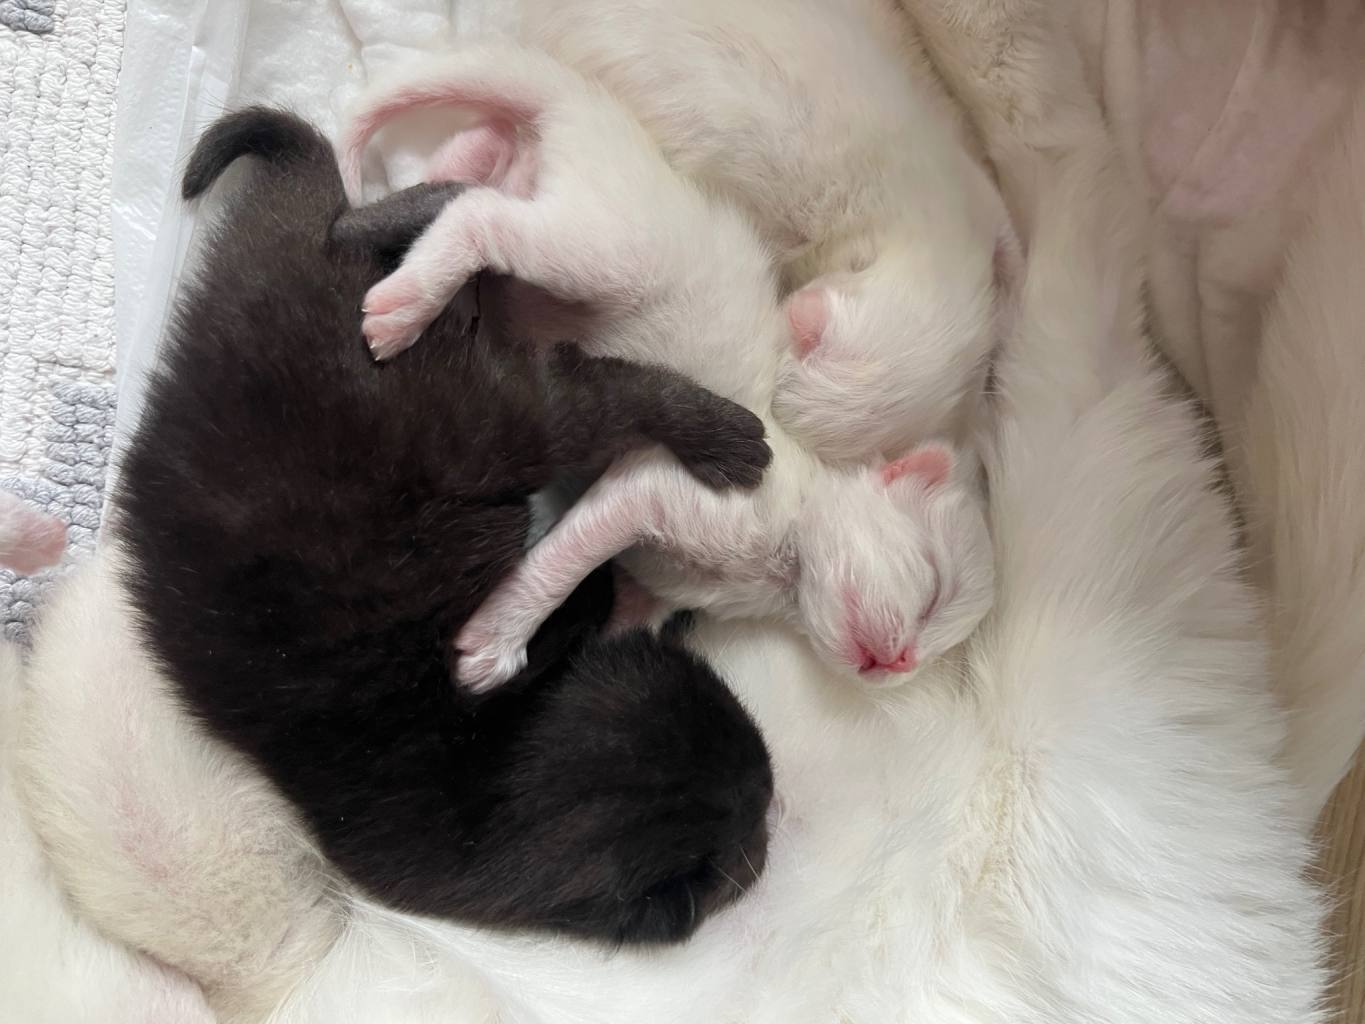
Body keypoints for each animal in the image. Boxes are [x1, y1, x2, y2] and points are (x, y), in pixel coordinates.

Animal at [112, 106, 775, 946]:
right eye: (747, 827)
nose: (775, 798)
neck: (496, 767)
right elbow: (583, 593)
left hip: (453, 396)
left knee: (411, 226)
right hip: (480, 419)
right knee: (585, 380)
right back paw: (725, 437)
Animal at [338, 43, 996, 692]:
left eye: (934, 650)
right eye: (934, 587)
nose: (901, 663)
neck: (785, 561)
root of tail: (587, 106)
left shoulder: (652, 584)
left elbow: (621, 613)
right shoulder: (652, 487)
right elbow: (564, 559)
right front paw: (497, 640)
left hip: (535, 186)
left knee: (465, 165)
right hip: (600, 254)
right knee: (479, 216)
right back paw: (403, 308)